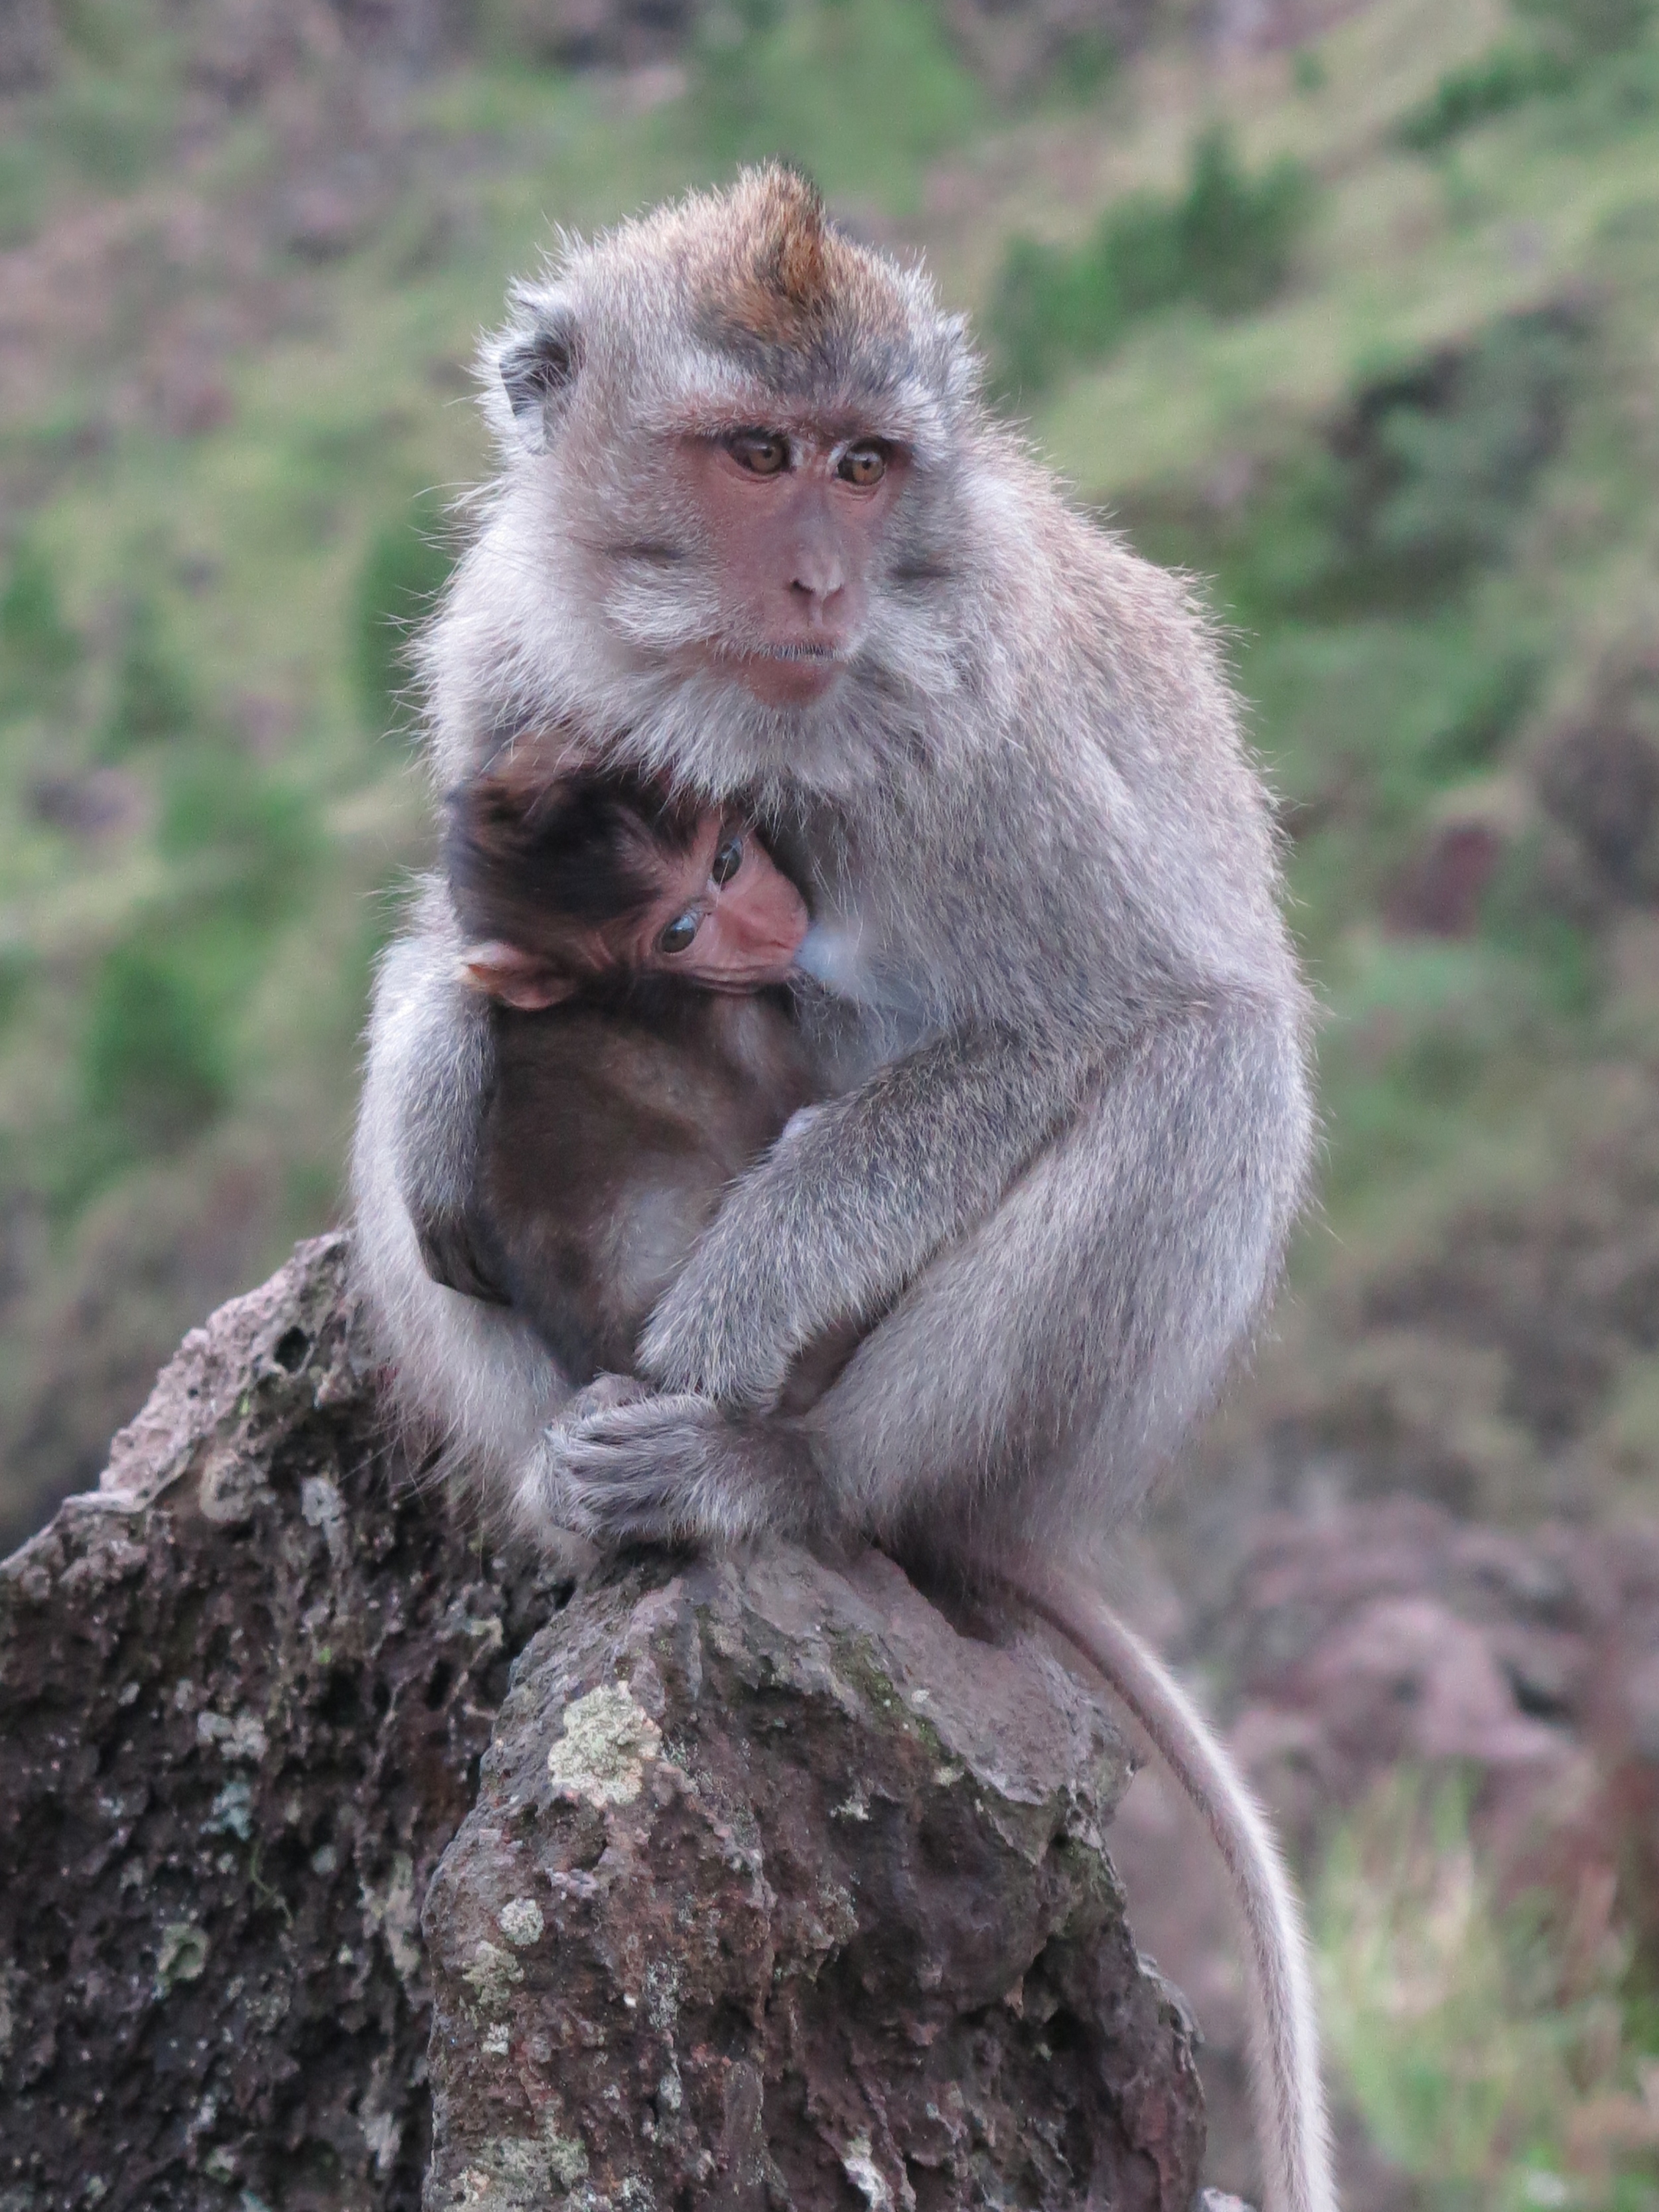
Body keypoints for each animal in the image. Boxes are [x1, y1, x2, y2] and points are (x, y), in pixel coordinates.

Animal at [354, 168, 1336, 2212]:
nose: (819, 580)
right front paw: (444, 1062)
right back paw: (569, 1489)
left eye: (864, 466)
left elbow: (1076, 1018)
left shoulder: (992, 738)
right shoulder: (504, 663)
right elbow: (449, 954)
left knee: (1207, 1059)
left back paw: (779, 1478)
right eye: (756, 456)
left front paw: (730, 1311)